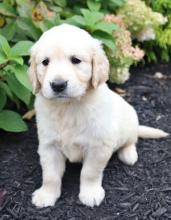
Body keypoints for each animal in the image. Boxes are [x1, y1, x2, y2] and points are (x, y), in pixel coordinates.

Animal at [28, 24, 168, 208]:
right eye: (45, 62)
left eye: (75, 60)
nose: (58, 85)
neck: (68, 107)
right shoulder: (48, 145)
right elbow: (50, 175)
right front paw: (46, 195)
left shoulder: (99, 147)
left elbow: (89, 172)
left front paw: (90, 194)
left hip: (130, 122)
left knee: (131, 141)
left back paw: (128, 154)